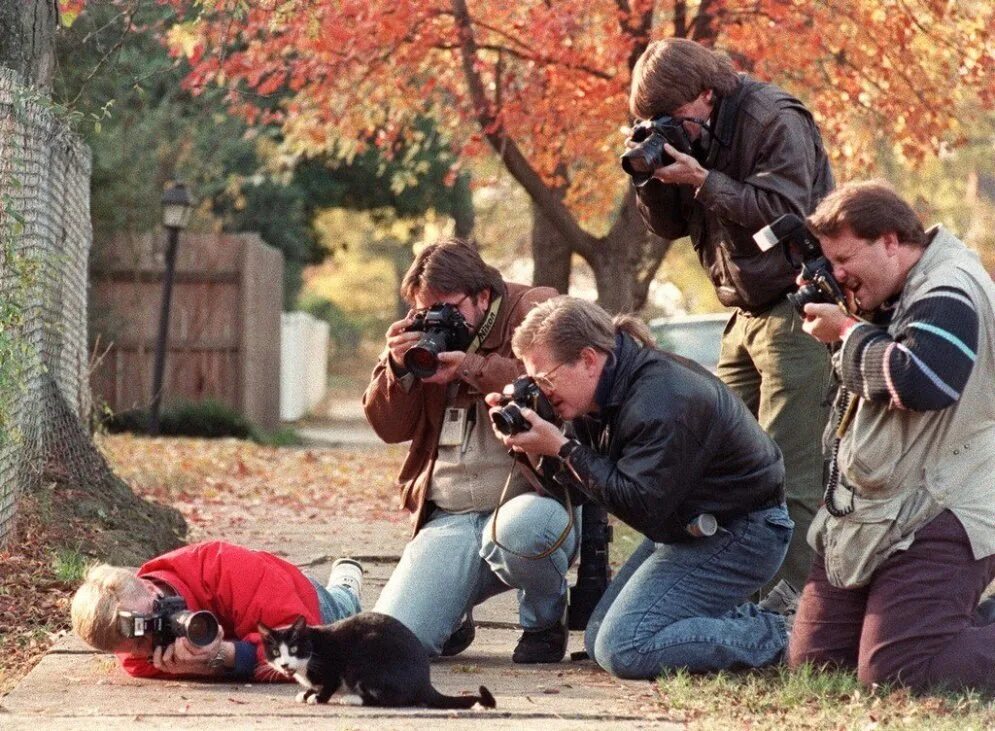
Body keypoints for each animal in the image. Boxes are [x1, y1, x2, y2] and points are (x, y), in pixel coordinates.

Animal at [258, 612, 496, 708]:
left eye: (294, 648)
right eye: (276, 652)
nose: (284, 664)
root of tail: (425, 683)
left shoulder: (333, 664)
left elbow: (329, 683)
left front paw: (318, 697)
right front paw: (307, 693)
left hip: (362, 662)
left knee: (392, 699)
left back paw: (352, 699)